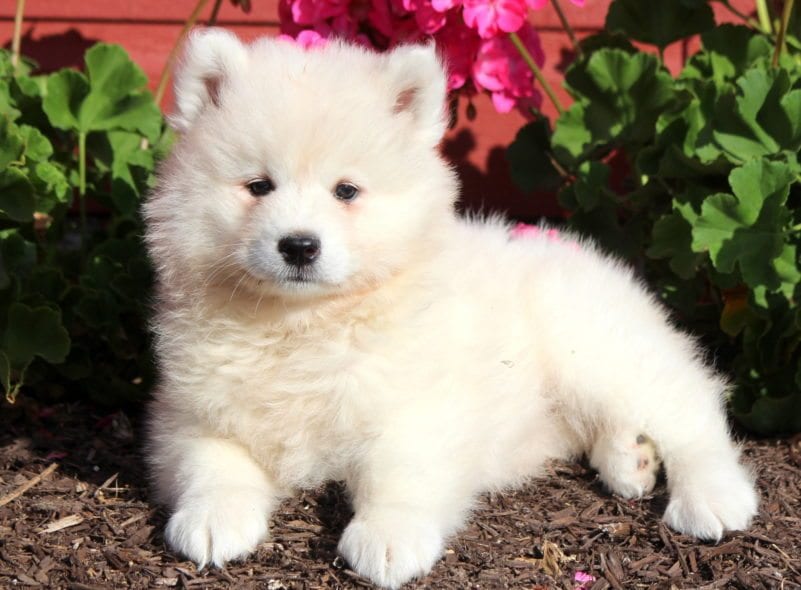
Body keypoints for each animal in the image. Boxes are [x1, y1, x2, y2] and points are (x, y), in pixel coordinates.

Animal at [142, 28, 756, 590]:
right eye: (258, 186)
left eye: (346, 191)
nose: (298, 245)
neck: (303, 324)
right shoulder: (191, 412)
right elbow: (209, 461)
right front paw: (213, 519)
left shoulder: (415, 404)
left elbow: (398, 471)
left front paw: (388, 539)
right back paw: (631, 458)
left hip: (599, 352)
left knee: (690, 411)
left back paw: (712, 496)